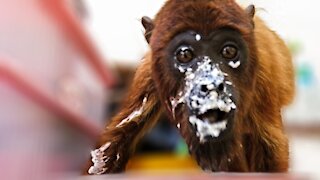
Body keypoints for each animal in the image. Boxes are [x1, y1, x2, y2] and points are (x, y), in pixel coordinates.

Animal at [85, 0, 296, 174]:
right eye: (185, 54)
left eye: (229, 51)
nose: (212, 84)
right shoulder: (148, 78)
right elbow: (114, 142)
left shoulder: (263, 79)